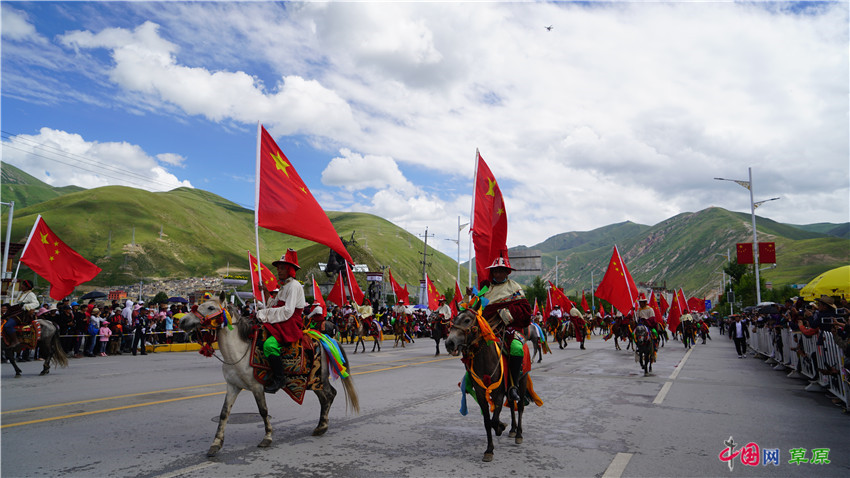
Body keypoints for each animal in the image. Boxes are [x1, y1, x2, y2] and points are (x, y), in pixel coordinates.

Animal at [179, 298, 358, 456]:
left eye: (211, 307)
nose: (182, 321)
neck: (238, 352)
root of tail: (326, 339)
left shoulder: (257, 387)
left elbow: (263, 411)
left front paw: (267, 437)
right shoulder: (232, 386)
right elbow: (224, 414)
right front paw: (215, 444)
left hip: (318, 378)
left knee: (329, 395)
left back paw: (322, 426)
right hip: (312, 382)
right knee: (325, 398)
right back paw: (321, 426)